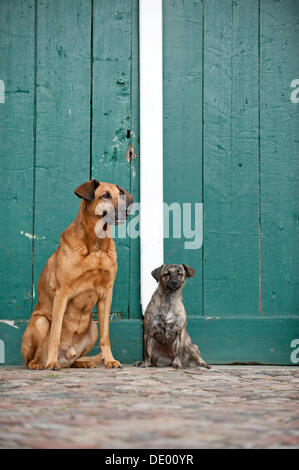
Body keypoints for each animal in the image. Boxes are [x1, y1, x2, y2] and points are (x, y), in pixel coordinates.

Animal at [21, 180, 132, 370]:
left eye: (121, 195)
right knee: (30, 360)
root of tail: (66, 353)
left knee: (73, 361)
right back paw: (41, 364)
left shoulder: (106, 294)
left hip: (92, 329)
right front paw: (51, 362)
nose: (127, 210)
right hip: (41, 322)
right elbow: (55, 334)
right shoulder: (62, 294)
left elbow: (105, 336)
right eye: (105, 195)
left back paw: (83, 362)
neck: (96, 246)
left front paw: (109, 360)